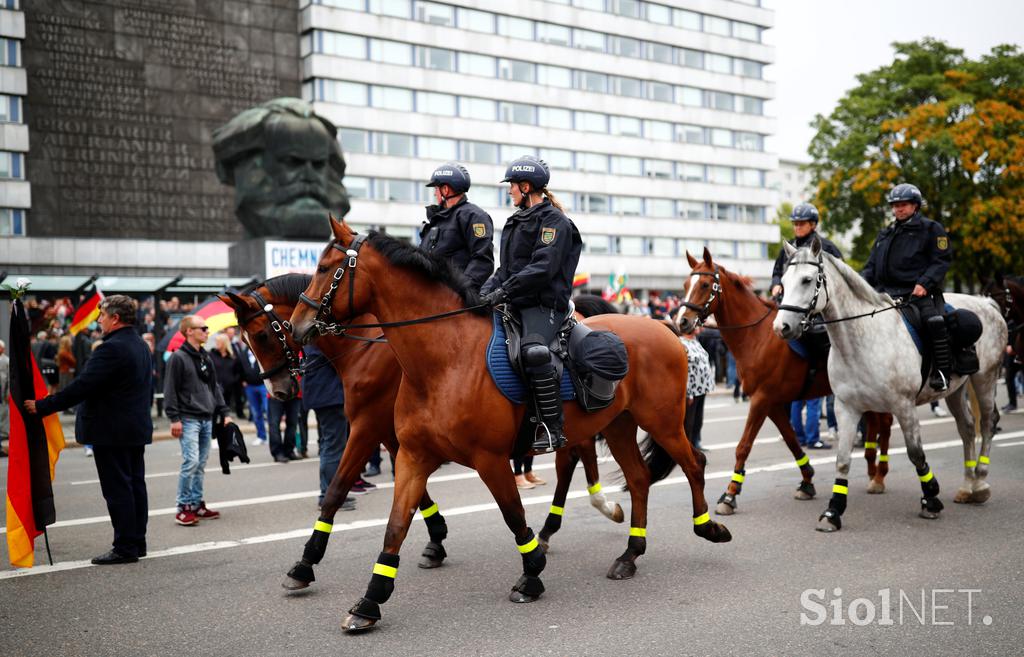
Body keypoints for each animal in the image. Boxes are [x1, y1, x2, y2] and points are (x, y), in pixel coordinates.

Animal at [220, 274, 618, 589]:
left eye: (262, 334)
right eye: (248, 338)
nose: (279, 391)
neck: (367, 350)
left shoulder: (366, 429)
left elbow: (336, 490)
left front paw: (306, 563)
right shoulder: (397, 437)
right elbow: (412, 492)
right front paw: (435, 539)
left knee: (576, 456)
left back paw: (596, 508)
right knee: (574, 457)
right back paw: (571, 520)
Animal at [290, 219, 729, 630]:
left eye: (326, 268)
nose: (297, 326)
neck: (444, 360)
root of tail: (665, 328)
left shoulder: (489, 458)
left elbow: (513, 515)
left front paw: (531, 575)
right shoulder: (413, 455)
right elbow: (393, 524)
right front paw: (369, 601)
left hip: (662, 422)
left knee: (694, 464)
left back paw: (708, 526)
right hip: (619, 425)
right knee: (638, 478)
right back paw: (629, 554)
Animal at [675, 247, 892, 509]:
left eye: (705, 284)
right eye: (686, 284)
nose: (681, 321)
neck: (757, 336)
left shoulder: (761, 400)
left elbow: (743, 446)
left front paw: (730, 492)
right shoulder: (772, 403)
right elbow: (791, 440)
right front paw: (807, 481)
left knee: (885, 424)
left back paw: (879, 475)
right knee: (875, 424)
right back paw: (872, 470)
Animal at [770, 237, 1003, 528]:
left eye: (807, 280)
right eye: (783, 281)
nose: (781, 327)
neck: (860, 341)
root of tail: (988, 304)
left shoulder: (904, 407)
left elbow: (916, 453)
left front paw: (931, 499)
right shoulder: (846, 408)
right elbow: (842, 460)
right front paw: (833, 511)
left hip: (985, 380)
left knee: (988, 423)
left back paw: (980, 482)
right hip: (955, 390)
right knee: (968, 428)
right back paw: (967, 486)